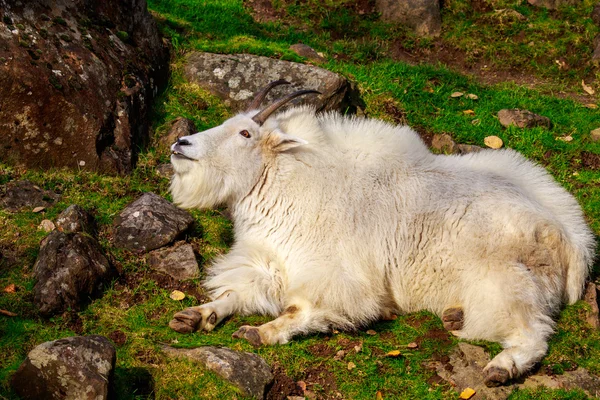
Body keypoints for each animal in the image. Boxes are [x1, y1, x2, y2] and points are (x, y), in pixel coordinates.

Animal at [168, 80, 596, 384]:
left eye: (245, 134)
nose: (180, 144)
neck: (290, 183)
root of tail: (572, 241)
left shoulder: (339, 277)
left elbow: (301, 308)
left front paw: (261, 332)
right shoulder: (272, 263)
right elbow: (235, 293)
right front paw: (195, 315)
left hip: (510, 283)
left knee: (533, 332)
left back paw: (501, 367)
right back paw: (454, 319)